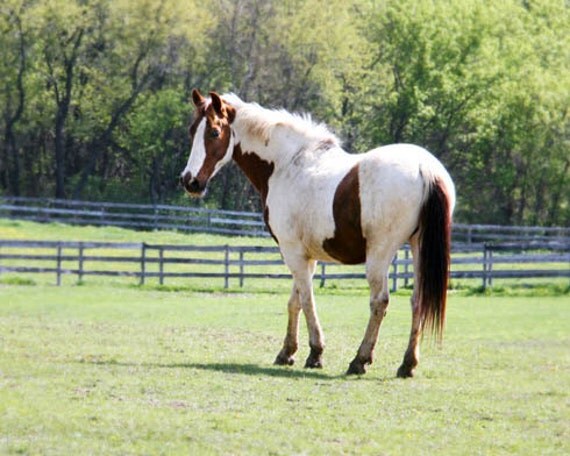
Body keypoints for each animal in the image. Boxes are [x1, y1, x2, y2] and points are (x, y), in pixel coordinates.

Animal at [180, 89, 454, 378]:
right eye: (192, 130)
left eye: (213, 132)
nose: (190, 181)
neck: (288, 164)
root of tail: (425, 168)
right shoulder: (305, 256)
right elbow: (295, 301)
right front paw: (287, 352)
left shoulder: (292, 251)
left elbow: (307, 299)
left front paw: (315, 353)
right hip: (418, 247)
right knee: (417, 301)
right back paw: (407, 364)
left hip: (380, 254)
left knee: (379, 301)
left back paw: (360, 359)